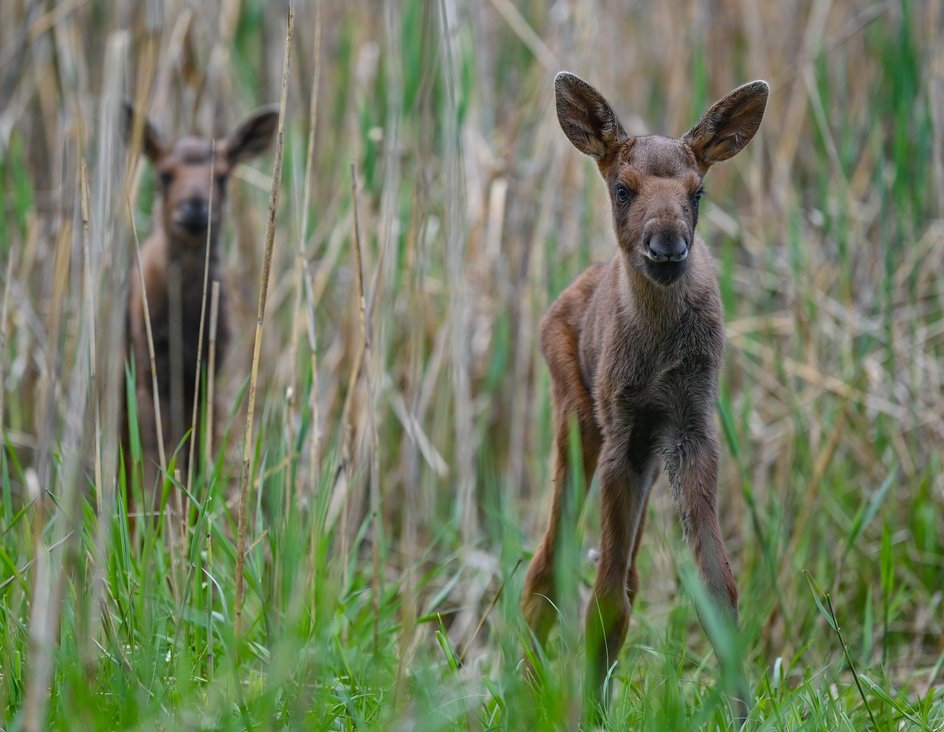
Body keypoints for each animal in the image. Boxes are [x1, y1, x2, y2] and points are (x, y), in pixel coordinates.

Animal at [121, 101, 276, 516]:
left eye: (221, 177)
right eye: (164, 174)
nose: (193, 208)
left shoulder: (207, 370)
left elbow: (195, 453)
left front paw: (190, 513)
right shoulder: (151, 372)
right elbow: (156, 455)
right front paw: (160, 517)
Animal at [520, 74, 772, 720]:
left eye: (697, 192)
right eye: (622, 189)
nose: (666, 247)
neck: (658, 351)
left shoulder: (691, 428)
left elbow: (718, 585)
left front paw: (742, 713)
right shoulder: (621, 433)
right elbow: (604, 596)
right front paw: (587, 715)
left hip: (648, 451)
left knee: (623, 575)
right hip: (578, 418)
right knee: (547, 565)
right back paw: (521, 693)